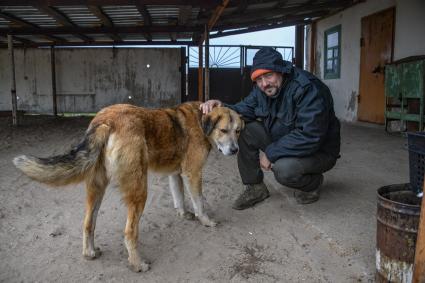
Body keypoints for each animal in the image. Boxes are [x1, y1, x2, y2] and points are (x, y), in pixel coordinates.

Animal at [13, 102, 243, 272]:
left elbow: (179, 198)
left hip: (96, 188)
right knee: (129, 232)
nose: (235, 150)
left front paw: (184, 214)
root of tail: (105, 121)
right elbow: (199, 202)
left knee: (88, 223)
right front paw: (206, 221)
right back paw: (137, 264)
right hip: (139, 190)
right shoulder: (193, 173)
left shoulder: (176, 174)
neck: (201, 120)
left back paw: (90, 252)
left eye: (238, 131)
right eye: (224, 130)